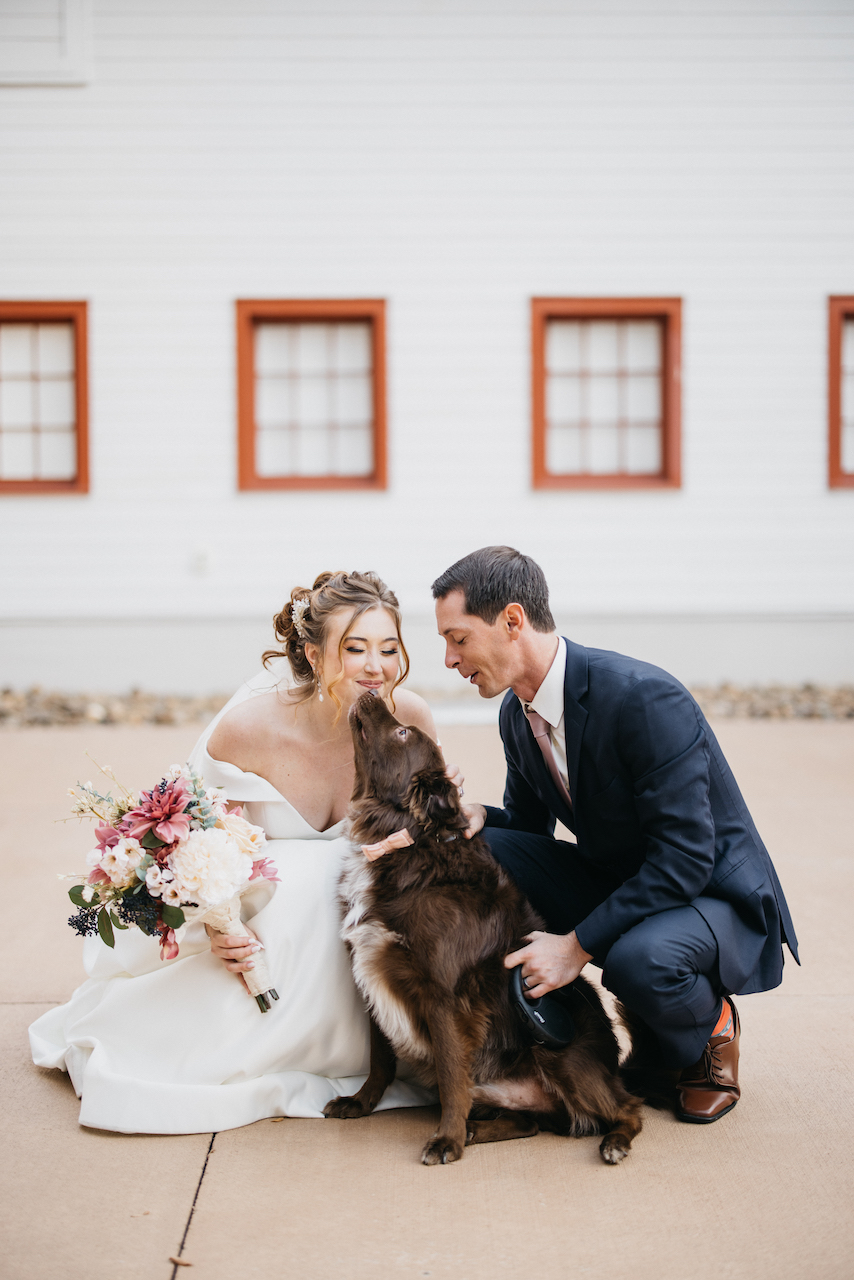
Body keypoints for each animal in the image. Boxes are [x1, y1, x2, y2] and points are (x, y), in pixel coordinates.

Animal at [323, 696, 645, 1167]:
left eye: (402, 732)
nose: (371, 695)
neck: (407, 842)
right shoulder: (371, 973)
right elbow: (379, 1058)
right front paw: (361, 1102)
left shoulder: (445, 995)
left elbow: (452, 1075)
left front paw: (446, 1140)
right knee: (528, 1123)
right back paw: (479, 1129)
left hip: (561, 1057)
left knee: (629, 1107)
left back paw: (614, 1141)